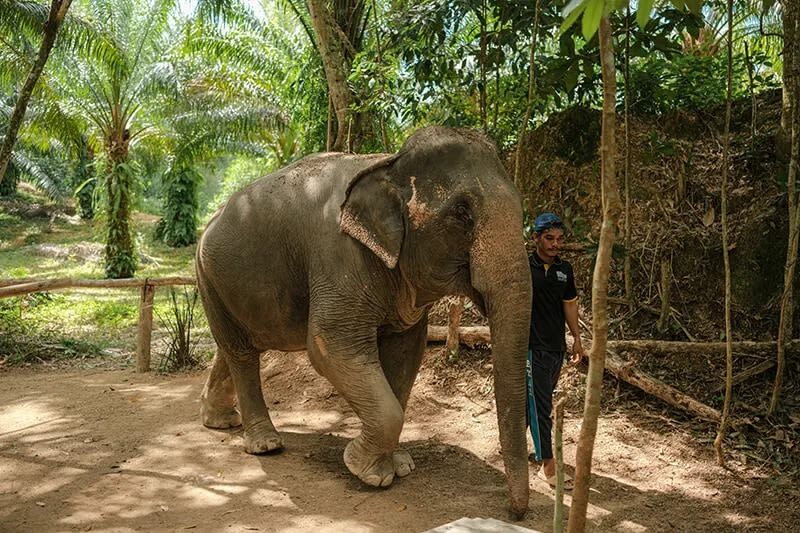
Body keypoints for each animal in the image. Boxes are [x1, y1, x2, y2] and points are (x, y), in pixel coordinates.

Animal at [196, 126, 532, 518]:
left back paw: (220, 421)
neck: (389, 162)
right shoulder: (339, 256)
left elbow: (406, 350)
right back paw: (266, 444)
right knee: (242, 353)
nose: (516, 512)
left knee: (234, 346)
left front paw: (400, 465)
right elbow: (329, 345)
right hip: (207, 275)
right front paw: (369, 472)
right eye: (462, 213)